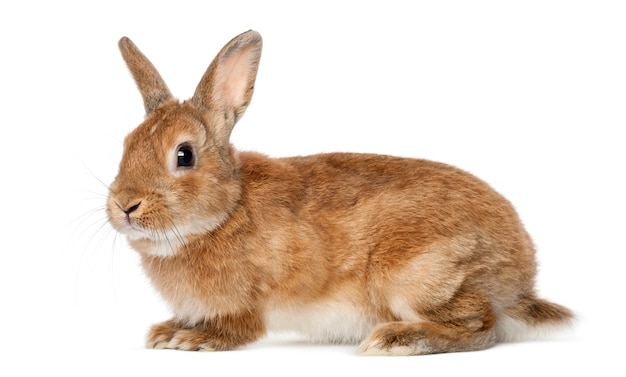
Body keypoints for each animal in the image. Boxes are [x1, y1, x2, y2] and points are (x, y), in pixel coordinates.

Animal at [106, 30, 572, 356]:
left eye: (183, 155)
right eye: (125, 145)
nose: (125, 206)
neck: (226, 212)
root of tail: (519, 281)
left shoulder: (251, 302)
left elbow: (239, 328)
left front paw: (193, 341)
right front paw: (165, 333)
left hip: (416, 277)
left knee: (481, 326)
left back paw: (396, 340)